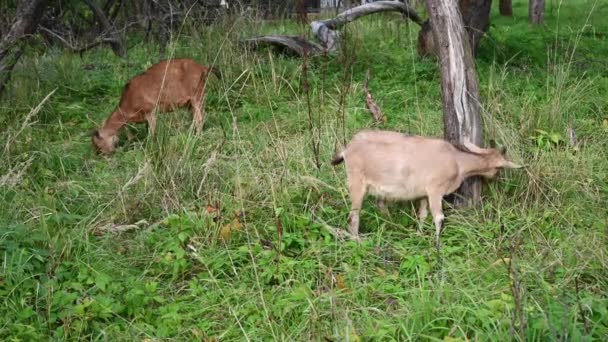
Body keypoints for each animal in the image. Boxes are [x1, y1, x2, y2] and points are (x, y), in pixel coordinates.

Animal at [91, 58, 220, 154]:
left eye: (98, 146)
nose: (106, 155)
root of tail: (203, 68)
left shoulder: (151, 111)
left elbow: (151, 134)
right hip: (191, 102)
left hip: (197, 96)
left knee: (199, 119)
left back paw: (197, 138)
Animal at [332, 130, 524, 244]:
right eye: (498, 168)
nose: (496, 179)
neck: (457, 161)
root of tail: (346, 149)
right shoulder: (435, 190)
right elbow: (439, 217)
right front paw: (437, 243)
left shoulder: (424, 193)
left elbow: (423, 214)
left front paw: (419, 234)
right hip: (356, 180)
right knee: (354, 215)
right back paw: (357, 240)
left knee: (379, 205)